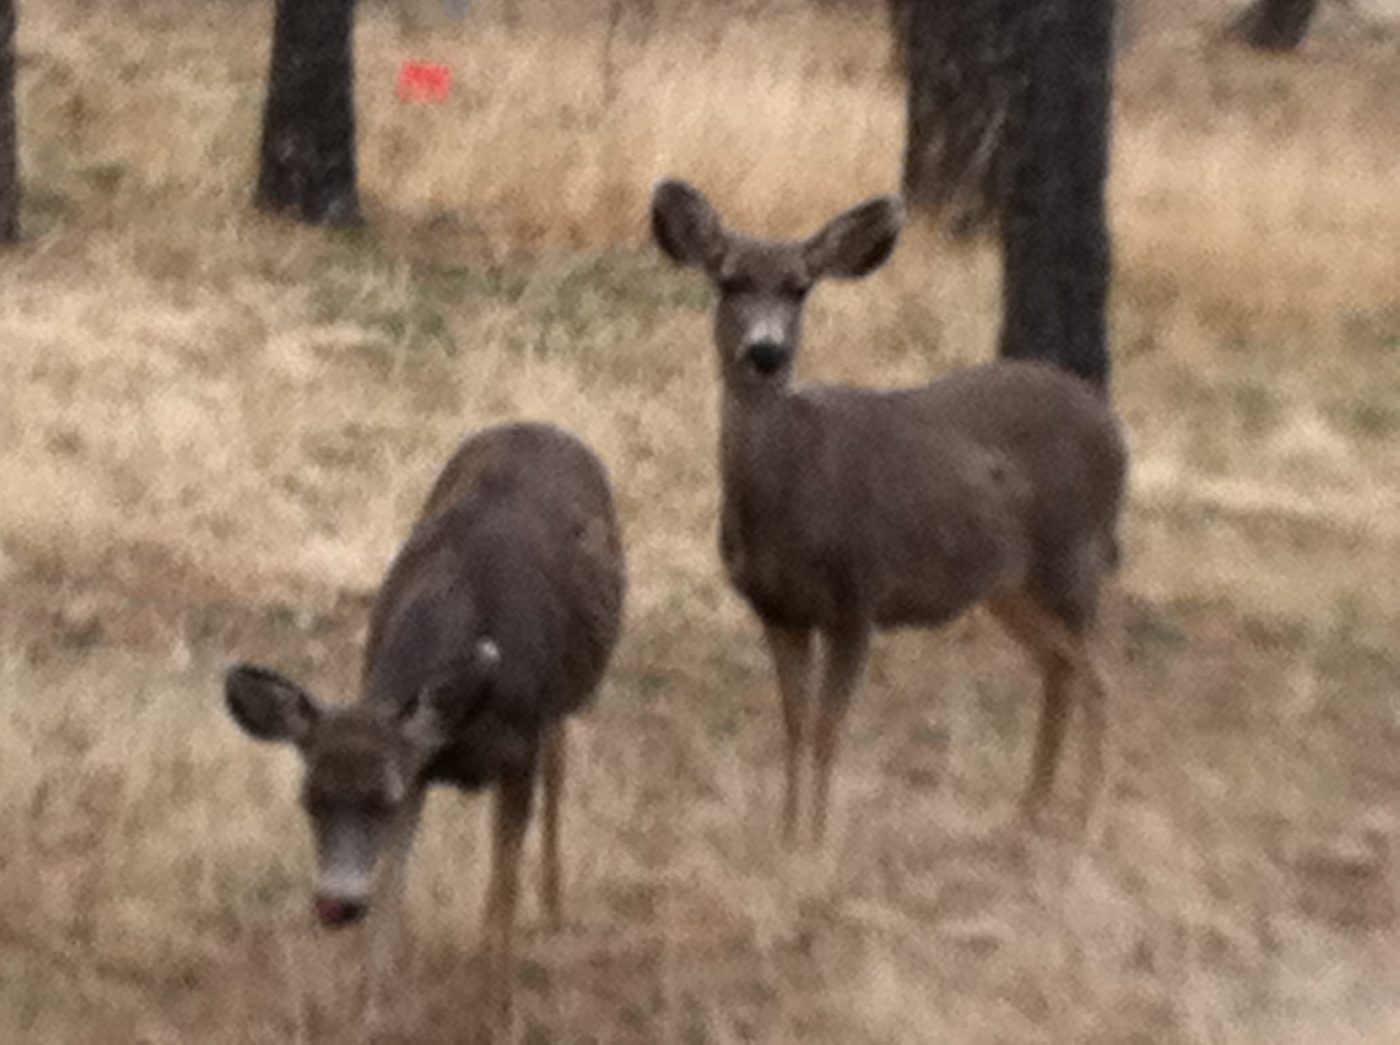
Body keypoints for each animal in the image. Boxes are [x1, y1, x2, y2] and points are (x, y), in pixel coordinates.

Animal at [222, 421, 626, 1026]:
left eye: (382, 798)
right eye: (309, 799)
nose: (337, 904)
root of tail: (538, 425)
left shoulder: (517, 752)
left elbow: (503, 888)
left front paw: (497, 1010)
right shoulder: (418, 768)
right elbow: (393, 888)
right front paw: (369, 1009)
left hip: (561, 701)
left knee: (559, 767)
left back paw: (553, 908)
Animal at [650, 178, 1127, 845]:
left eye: (799, 286)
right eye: (728, 280)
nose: (766, 353)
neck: (790, 498)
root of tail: (1114, 429)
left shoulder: (858, 596)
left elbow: (828, 729)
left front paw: (818, 844)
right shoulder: (777, 608)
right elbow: (793, 725)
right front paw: (786, 836)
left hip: (1071, 556)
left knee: (1103, 676)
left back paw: (1087, 824)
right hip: (1007, 585)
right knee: (1060, 668)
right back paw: (1027, 812)